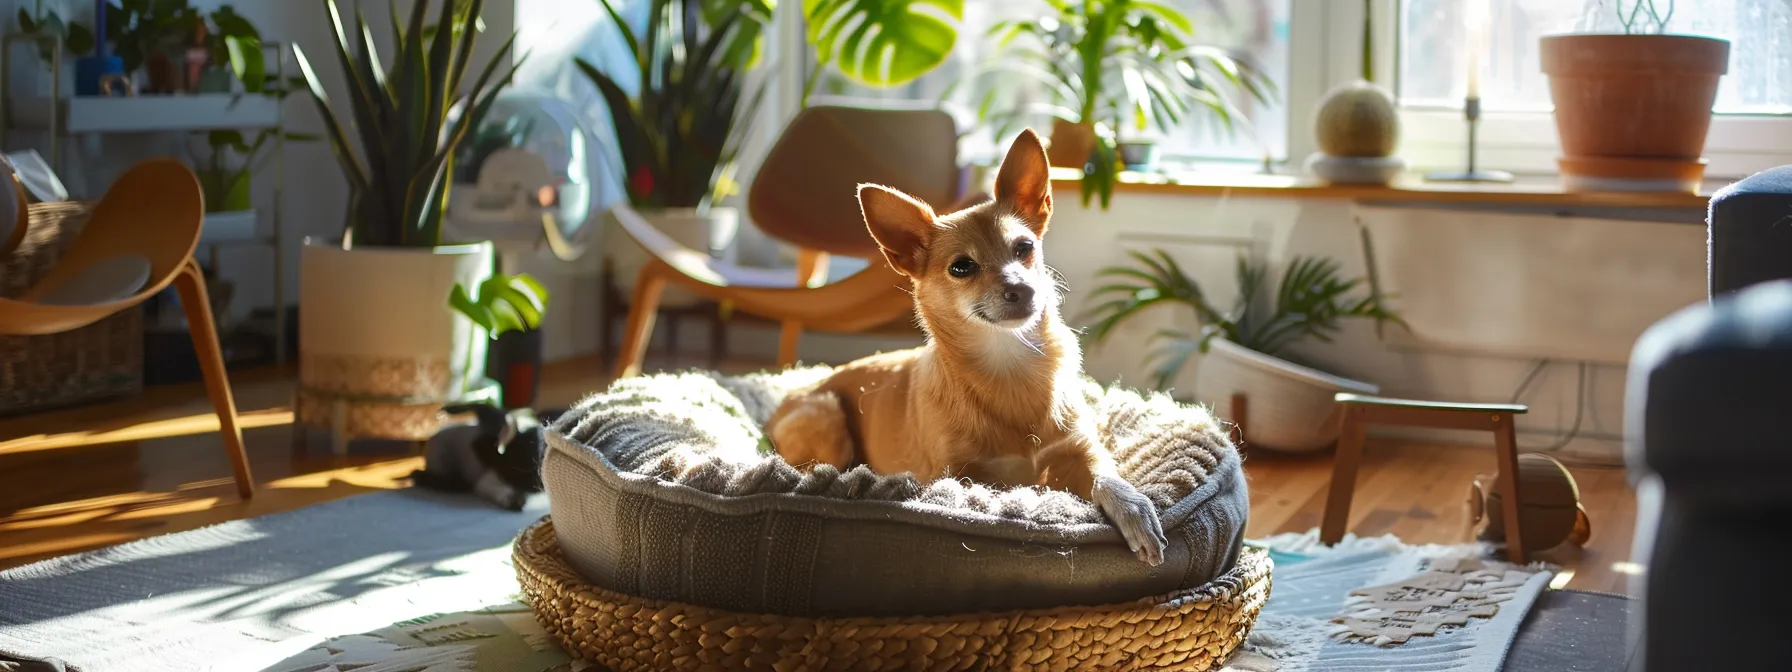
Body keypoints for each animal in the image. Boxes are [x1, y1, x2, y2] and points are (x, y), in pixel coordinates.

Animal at [763, 129, 1168, 566]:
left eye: (1024, 248)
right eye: (962, 267)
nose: (1024, 289)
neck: (1010, 365)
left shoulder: (1082, 448)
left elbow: (1107, 477)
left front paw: (1133, 507)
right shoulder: (962, 476)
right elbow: (1004, 490)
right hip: (826, 421)